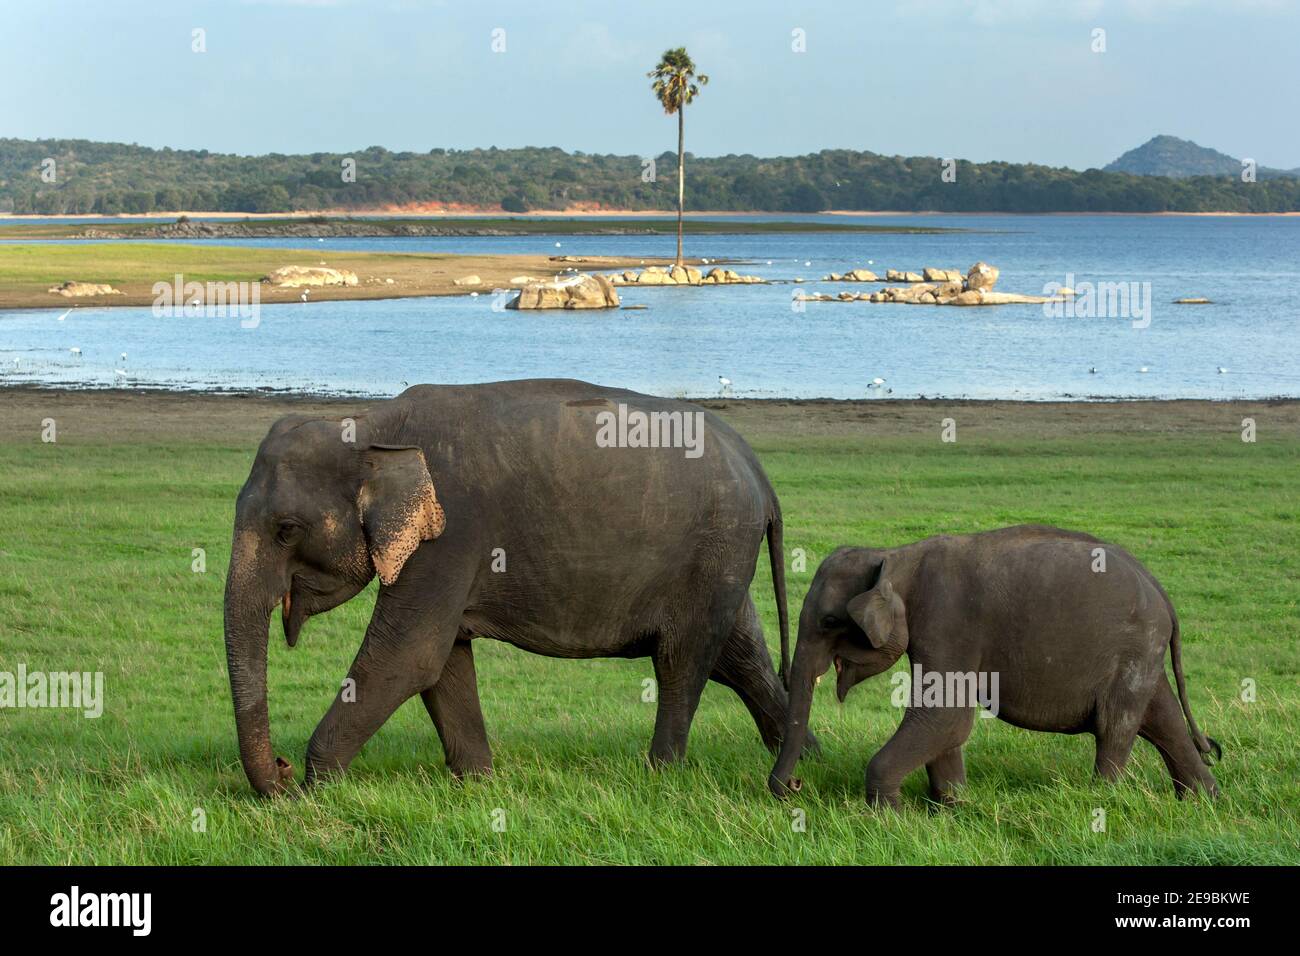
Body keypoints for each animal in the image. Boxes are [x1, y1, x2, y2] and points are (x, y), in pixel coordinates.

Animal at [223, 377, 800, 796]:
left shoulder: (451, 537)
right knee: (741, 658)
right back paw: (804, 762)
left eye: (286, 530)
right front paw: (478, 785)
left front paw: (314, 791)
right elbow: (443, 661)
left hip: (715, 549)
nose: (280, 772)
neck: (372, 424)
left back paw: (660, 775)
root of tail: (759, 471)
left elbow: (409, 656)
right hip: (722, 560)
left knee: (682, 662)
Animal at [769, 522, 1216, 806]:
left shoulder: (947, 619)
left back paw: (1102, 799)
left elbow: (944, 717)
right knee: (1162, 718)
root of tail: (1164, 596)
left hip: (1133, 650)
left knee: (1115, 727)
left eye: (829, 621)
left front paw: (890, 815)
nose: (796, 786)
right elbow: (945, 725)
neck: (896, 556)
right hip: (1142, 654)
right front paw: (952, 809)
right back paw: (1202, 802)